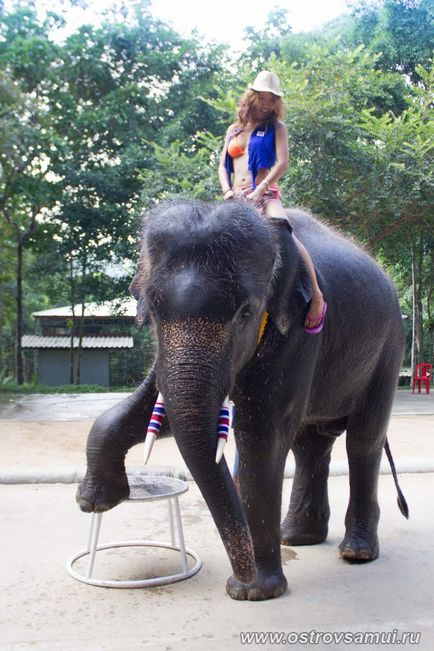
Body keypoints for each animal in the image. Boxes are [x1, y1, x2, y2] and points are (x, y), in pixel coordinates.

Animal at [77, 199, 406, 600]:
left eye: (246, 312)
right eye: (152, 313)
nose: (242, 577)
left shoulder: (297, 330)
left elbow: (262, 434)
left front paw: (255, 592)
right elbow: (158, 409)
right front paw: (95, 500)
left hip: (389, 348)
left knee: (363, 440)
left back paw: (356, 552)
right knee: (310, 445)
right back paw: (296, 537)